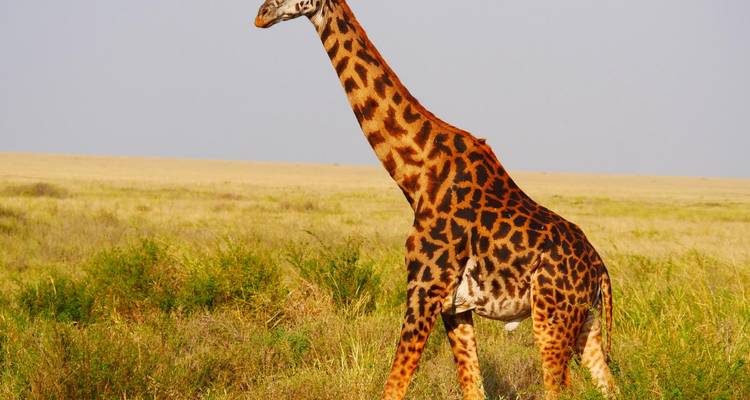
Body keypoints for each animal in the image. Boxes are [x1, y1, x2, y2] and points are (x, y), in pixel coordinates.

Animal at [255, 1, 617, 399]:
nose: (261, 16)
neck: (416, 174)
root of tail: (600, 271)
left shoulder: (423, 289)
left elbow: (394, 385)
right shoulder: (454, 306)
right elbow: (472, 386)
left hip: (551, 317)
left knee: (559, 387)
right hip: (585, 322)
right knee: (609, 383)